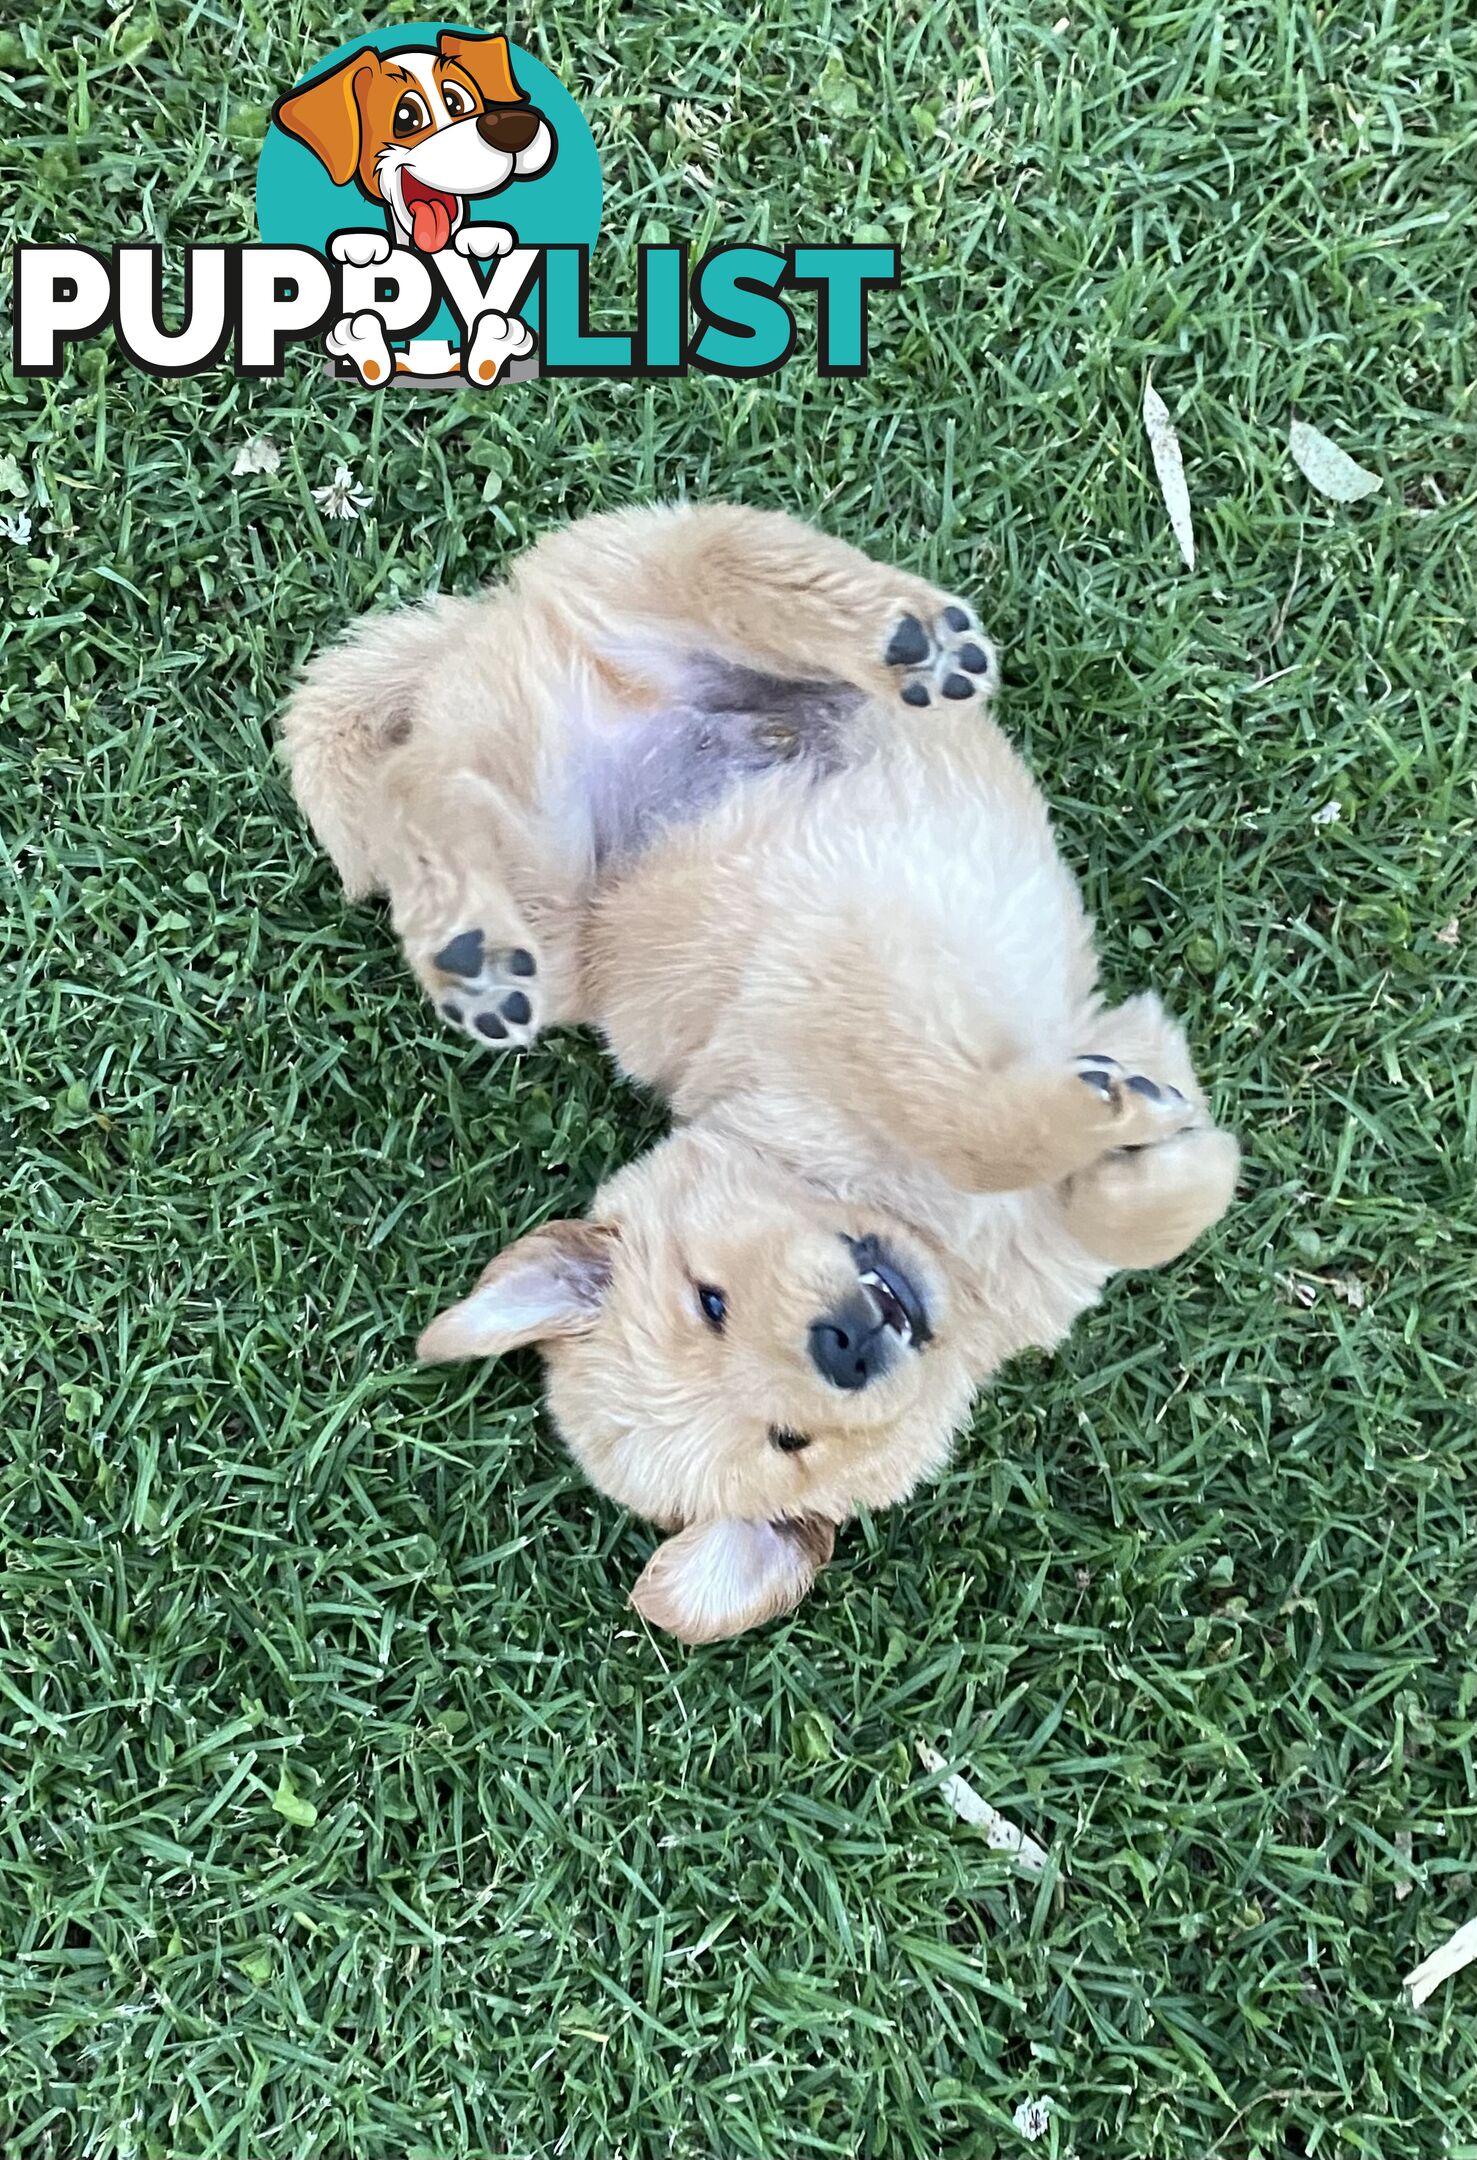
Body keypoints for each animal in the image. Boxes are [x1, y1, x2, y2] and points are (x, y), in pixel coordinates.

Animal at [280, 509, 1235, 1650]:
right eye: (788, 1439)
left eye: (710, 1302)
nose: (845, 1345)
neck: (922, 1230)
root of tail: (481, 631)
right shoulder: (850, 995)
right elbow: (1022, 1149)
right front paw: (1142, 1147)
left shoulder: (847, 976)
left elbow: (995, 1137)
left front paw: (1146, 1145)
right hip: (545, 861)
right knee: (423, 785)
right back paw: (467, 943)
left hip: (634, 594)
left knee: (716, 565)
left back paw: (902, 638)